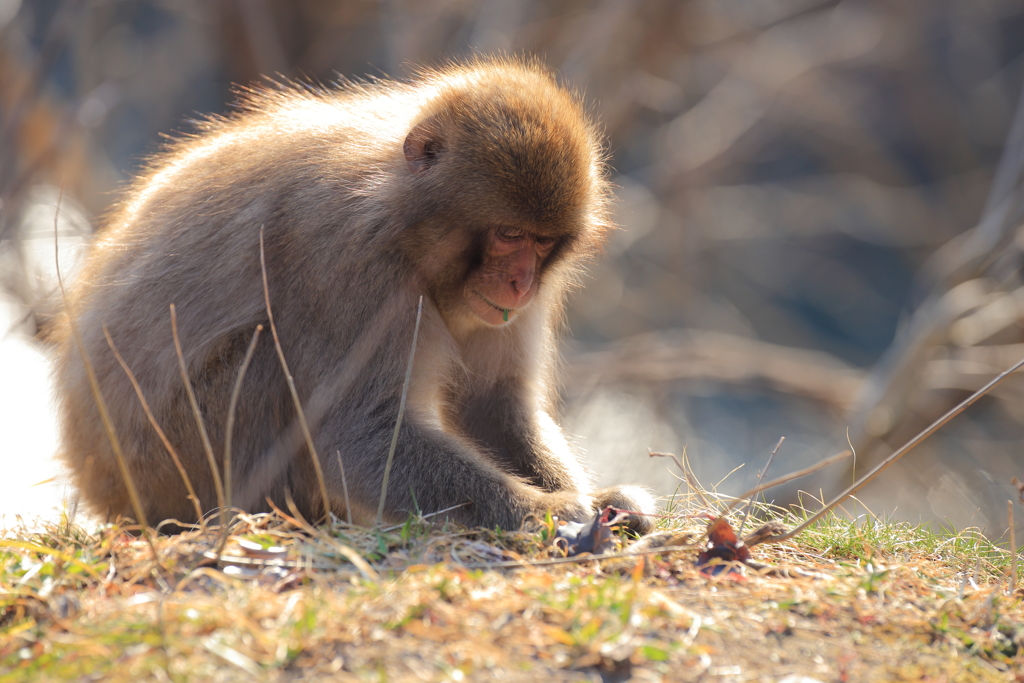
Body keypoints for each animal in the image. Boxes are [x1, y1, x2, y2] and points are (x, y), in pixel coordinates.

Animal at [54, 57, 655, 532]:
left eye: (543, 242)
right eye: (509, 234)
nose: (521, 282)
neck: (402, 215)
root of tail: (103, 488)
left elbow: (491, 407)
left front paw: (602, 499)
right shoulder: (345, 256)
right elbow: (358, 435)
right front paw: (545, 513)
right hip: (173, 469)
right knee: (265, 358)